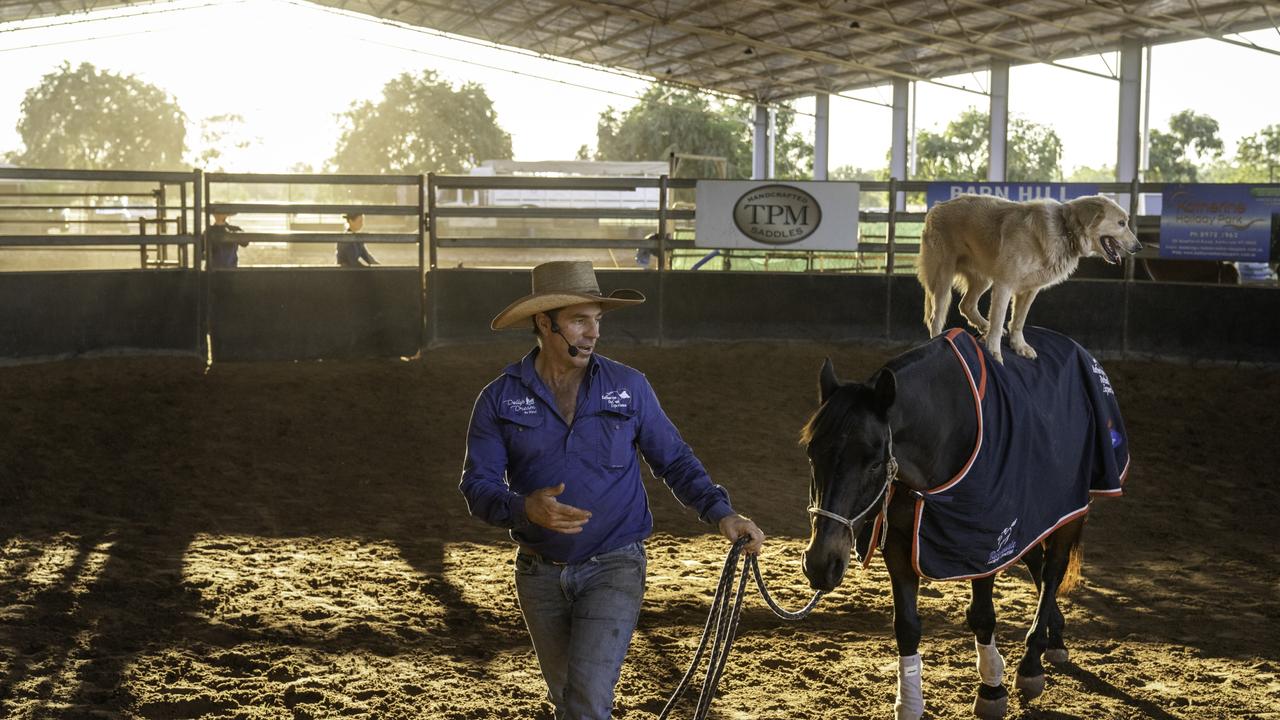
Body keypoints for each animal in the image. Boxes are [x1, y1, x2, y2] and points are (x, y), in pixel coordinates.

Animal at [803, 330, 1126, 717]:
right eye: (812, 453)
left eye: (874, 461)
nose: (820, 563)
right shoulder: (901, 540)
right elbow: (906, 625)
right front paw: (909, 703)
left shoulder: (985, 540)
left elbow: (983, 615)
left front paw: (991, 688)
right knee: (1037, 558)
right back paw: (1056, 636)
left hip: (1070, 507)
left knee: (1053, 569)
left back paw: (1032, 662)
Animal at [916, 193, 1146, 361]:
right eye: (1121, 223)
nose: (1139, 247)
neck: (1066, 230)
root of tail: (936, 207)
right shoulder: (1004, 285)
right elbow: (999, 320)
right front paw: (994, 352)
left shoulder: (1029, 290)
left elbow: (1018, 321)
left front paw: (1019, 346)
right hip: (943, 278)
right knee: (936, 316)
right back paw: (939, 339)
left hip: (983, 278)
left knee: (966, 305)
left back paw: (983, 326)